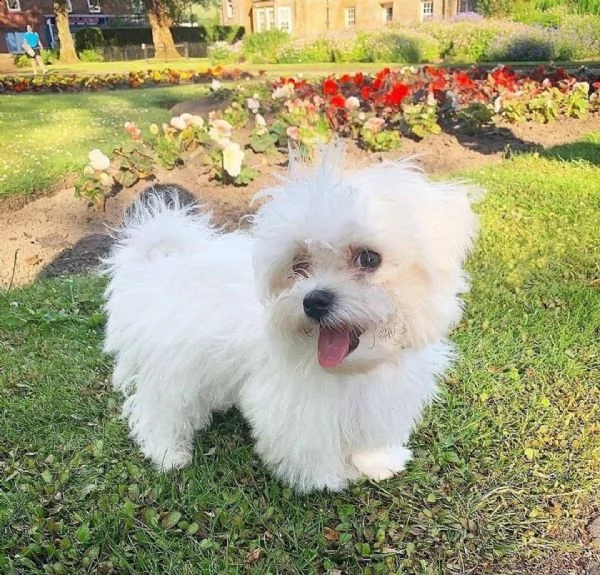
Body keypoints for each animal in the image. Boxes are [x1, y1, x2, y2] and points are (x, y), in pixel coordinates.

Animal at [103, 144, 478, 496]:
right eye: (299, 265)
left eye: (369, 258)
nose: (314, 301)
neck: (352, 370)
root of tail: (160, 266)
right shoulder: (297, 404)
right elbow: (308, 443)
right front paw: (325, 478)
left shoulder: (382, 395)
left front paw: (377, 461)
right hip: (173, 364)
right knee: (160, 405)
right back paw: (168, 451)